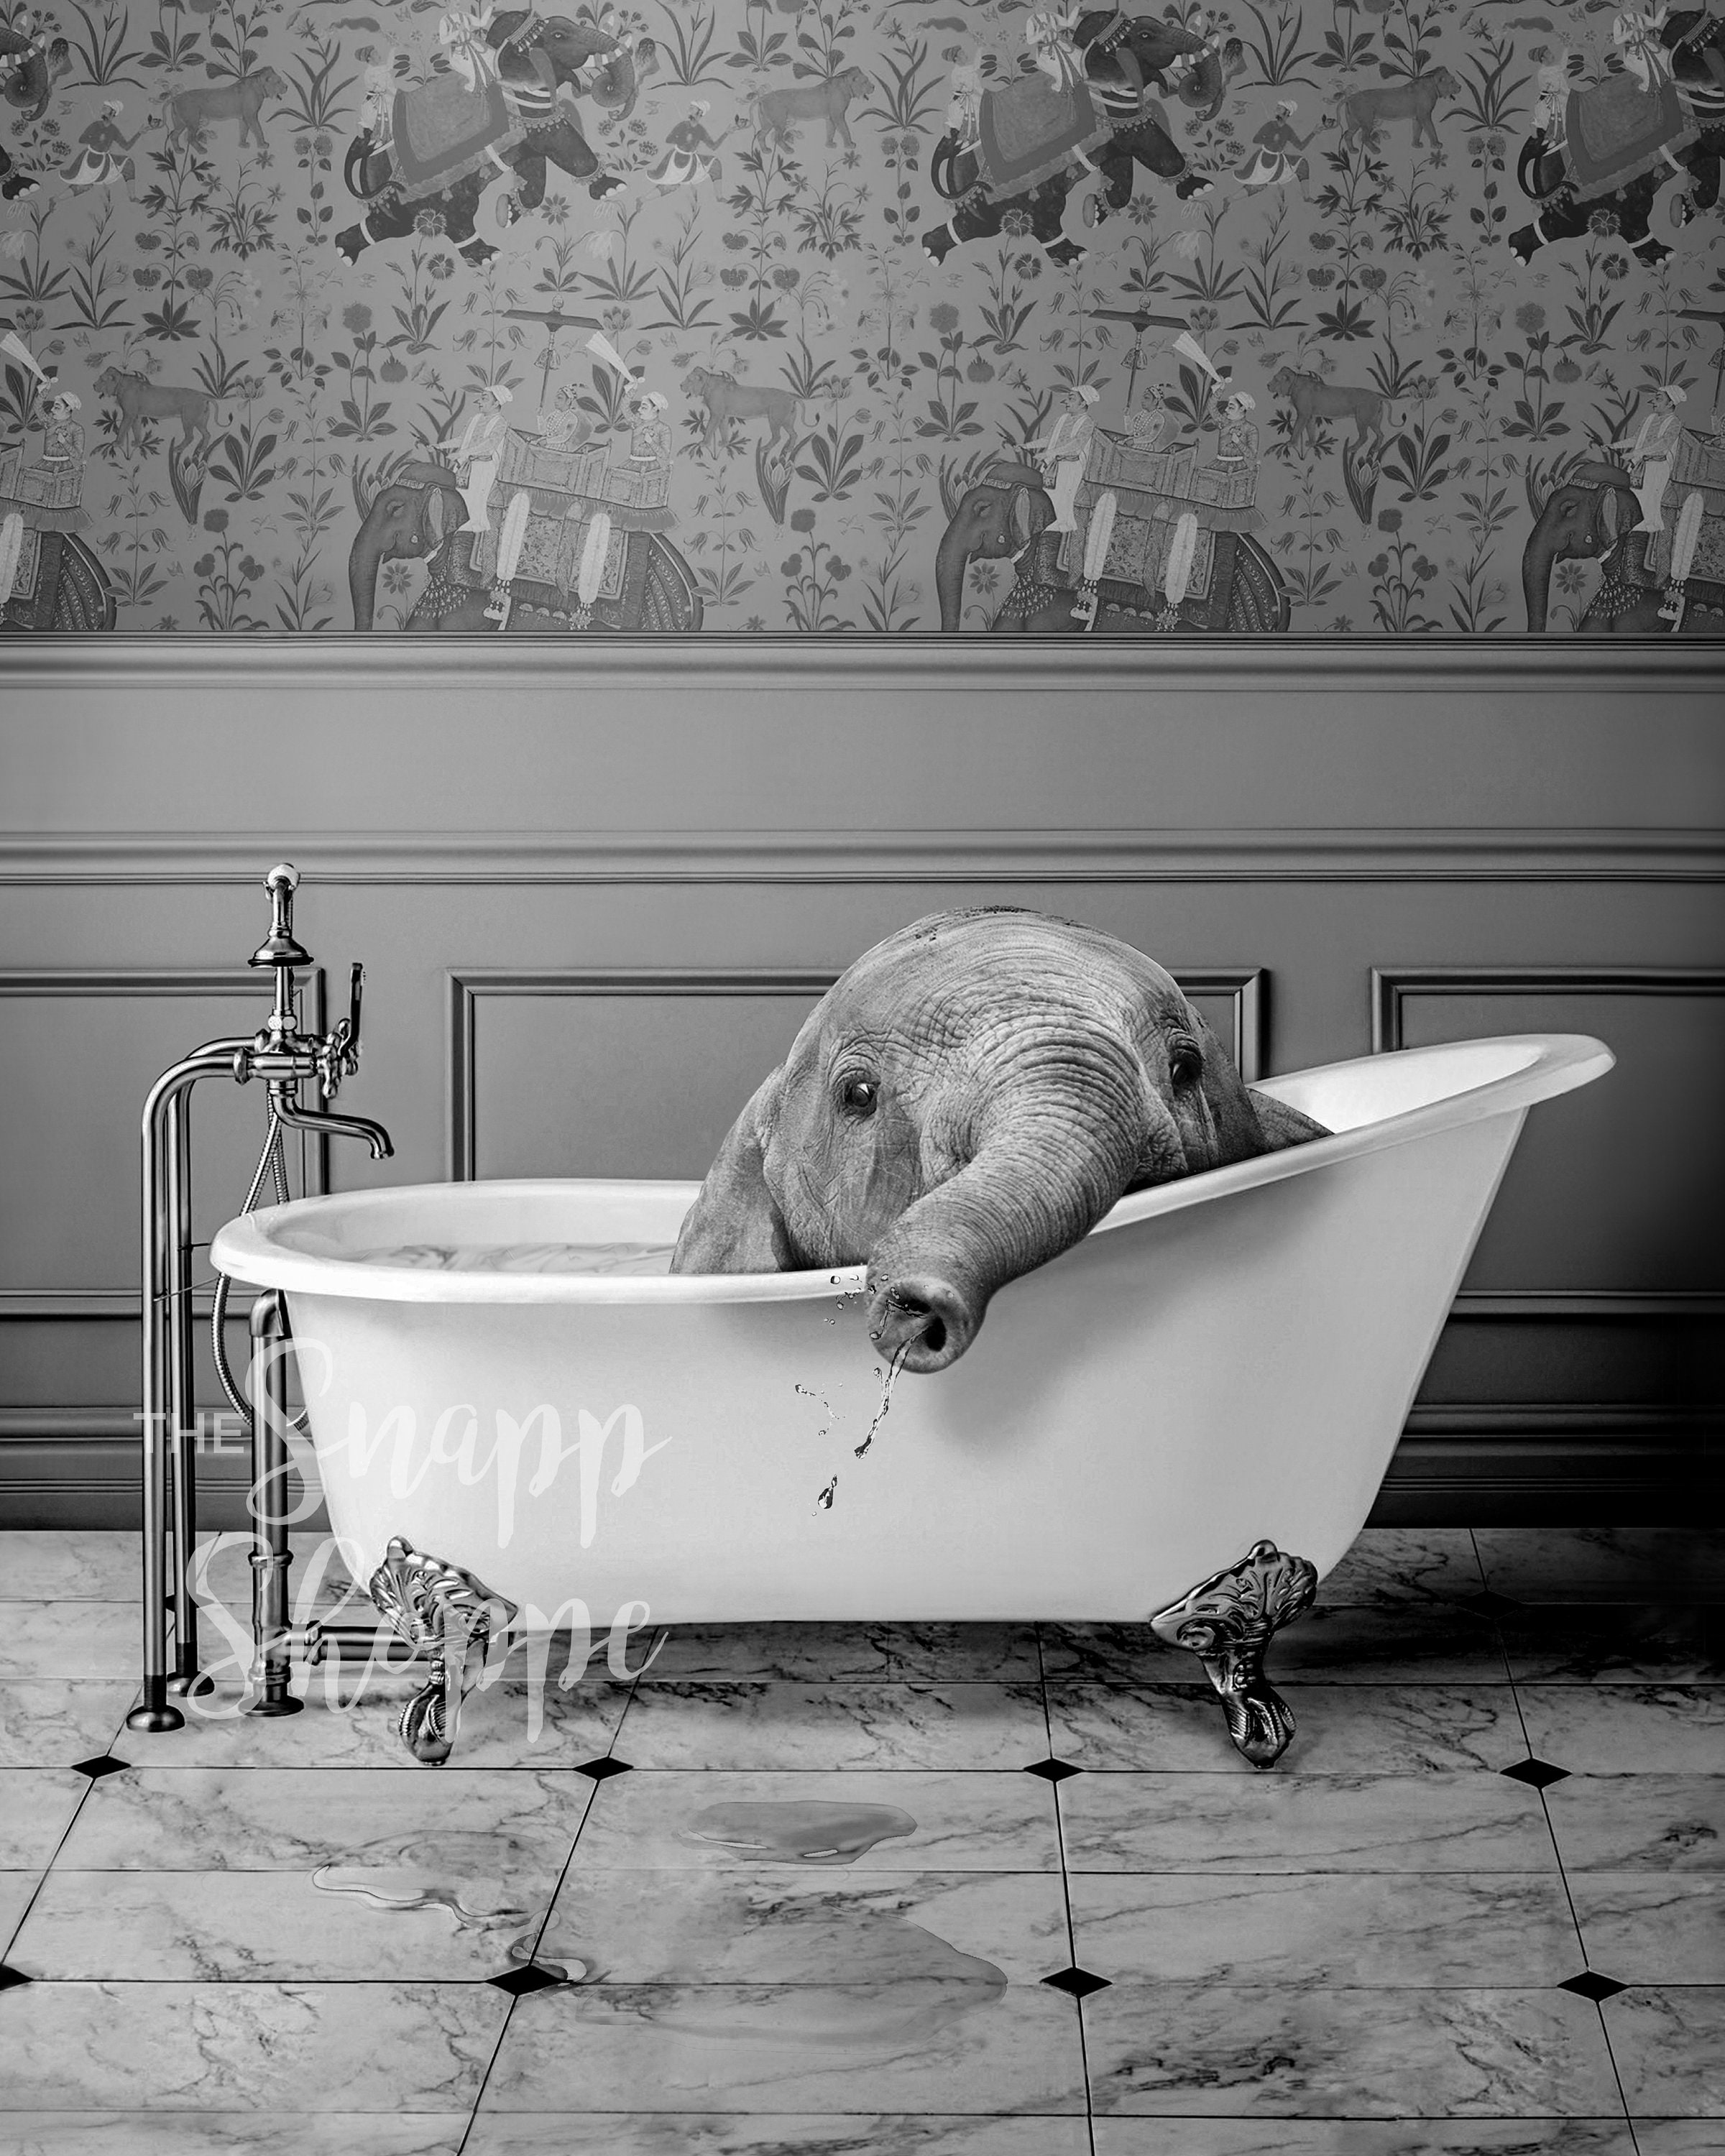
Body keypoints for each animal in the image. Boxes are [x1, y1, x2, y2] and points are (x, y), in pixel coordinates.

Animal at [336, 10, 654, 263]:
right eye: (559, 35)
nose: (605, 82)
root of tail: (366, 142)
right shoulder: (530, 110)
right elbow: (563, 144)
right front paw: (613, 188)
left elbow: (534, 167)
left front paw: (510, 211)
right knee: (456, 215)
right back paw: (487, 256)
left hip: (390, 193)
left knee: (393, 224)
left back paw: (343, 250)